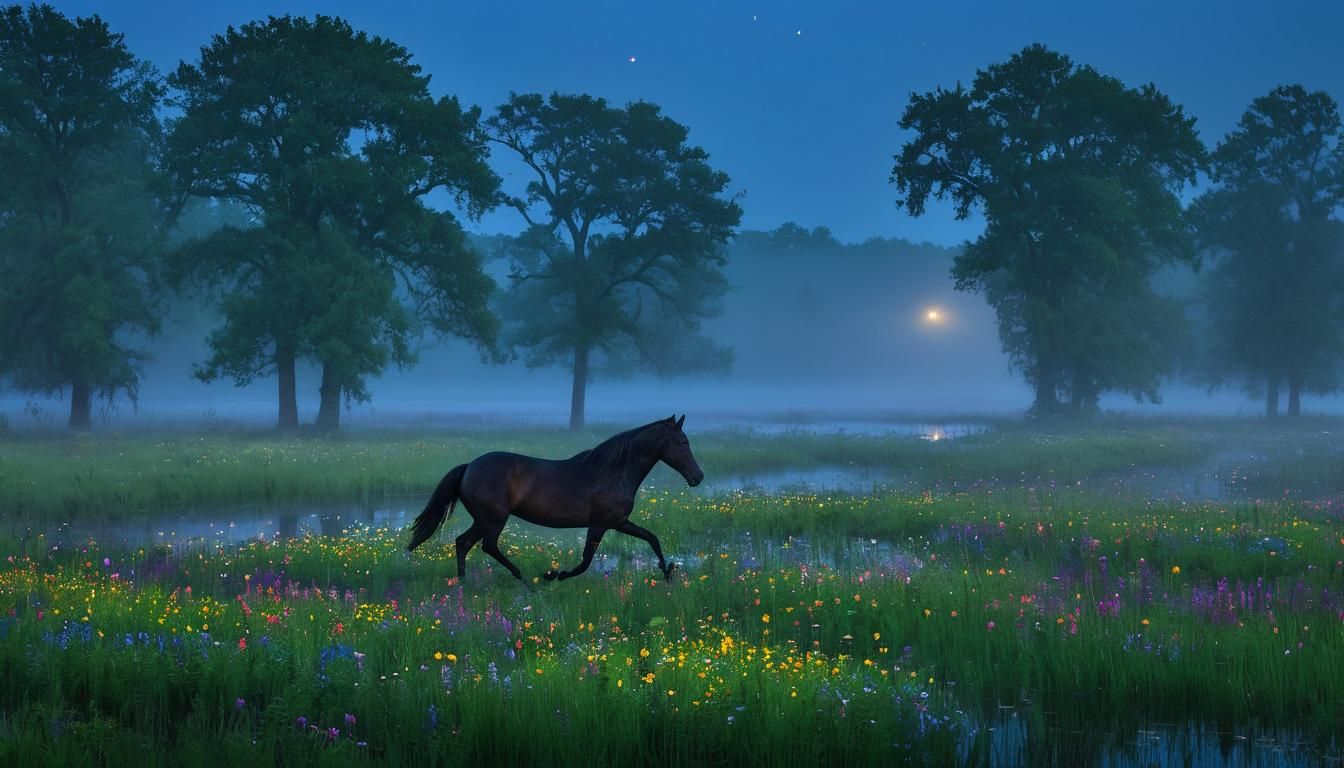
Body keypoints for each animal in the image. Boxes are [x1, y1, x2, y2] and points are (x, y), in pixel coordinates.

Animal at [406, 414, 704, 582]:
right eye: (683, 443)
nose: (698, 477)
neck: (612, 471)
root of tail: (469, 467)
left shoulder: (619, 522)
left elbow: (652, 539)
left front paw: (667, 571)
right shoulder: (599, 524)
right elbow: (584, 562)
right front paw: (554, 575)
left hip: (484, 520)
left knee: (463, 543)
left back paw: (464, 583)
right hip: (493, 519)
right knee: (486, 546)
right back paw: (523, 579)